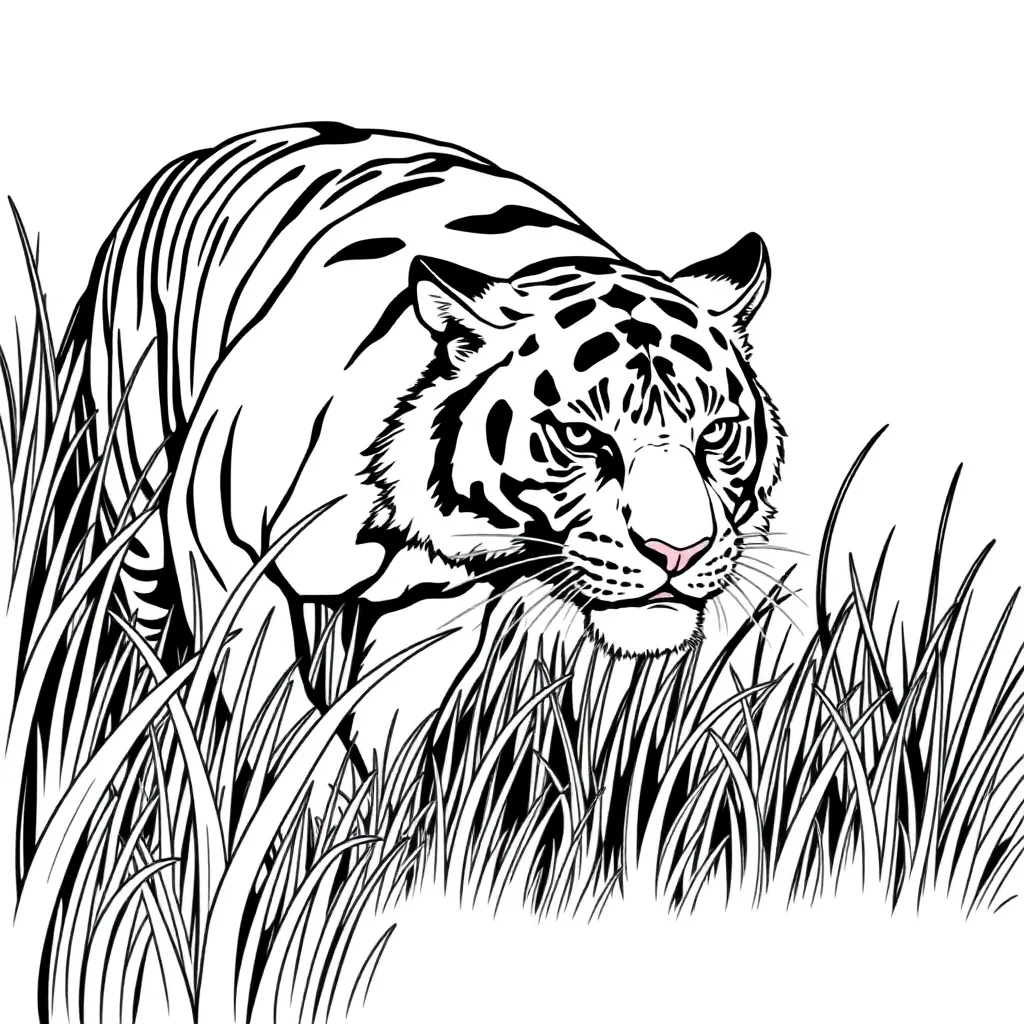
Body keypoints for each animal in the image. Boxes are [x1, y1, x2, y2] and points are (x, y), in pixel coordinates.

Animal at [66, 120, 785, 752]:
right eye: (583, 438)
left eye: (717, 434)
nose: (678, 553)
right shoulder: (222, 550)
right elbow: (266, 705)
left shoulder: (437, 605)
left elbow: (387, 730)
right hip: (135, 506)